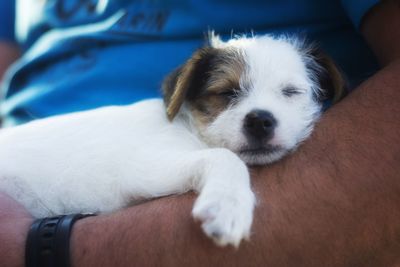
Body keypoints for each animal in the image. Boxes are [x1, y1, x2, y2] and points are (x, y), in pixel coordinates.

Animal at [0, 34, 344, 249]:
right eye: (226, 92)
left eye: (291, 92)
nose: (260, 120)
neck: (191, 128)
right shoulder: (143, 168)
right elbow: (226, 158)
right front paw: (228, 205)